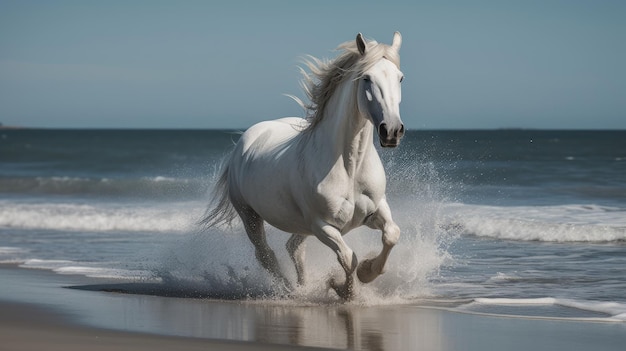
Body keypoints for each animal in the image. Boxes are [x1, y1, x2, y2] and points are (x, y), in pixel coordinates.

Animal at [202, 32, 402, 300]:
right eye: (367, 78)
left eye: (400, 77)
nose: (392, 131)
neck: (349, 167)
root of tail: (244, 142)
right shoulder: (322, 226)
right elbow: (348, 258)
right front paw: (343, 290)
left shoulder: (376, 208)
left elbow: (391, 234)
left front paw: (367, 272)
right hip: (250, 217)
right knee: (266, 255)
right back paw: (289, 291)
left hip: (300, 224)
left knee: (293, 248)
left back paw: (303, 287)